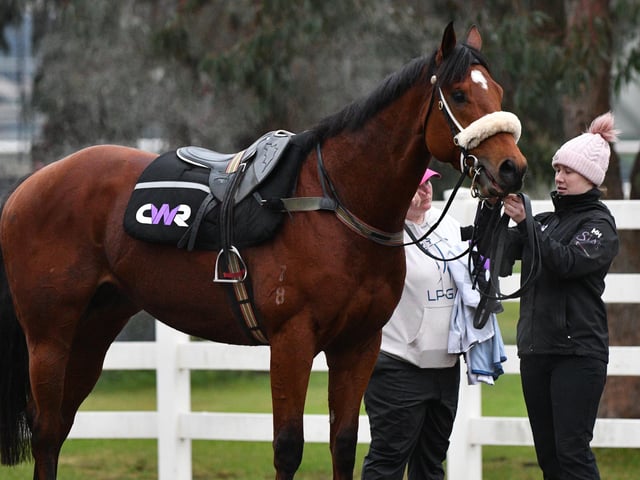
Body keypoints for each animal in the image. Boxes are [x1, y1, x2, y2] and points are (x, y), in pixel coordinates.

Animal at [0, 22, 526, 480]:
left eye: (498, 92)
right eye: (459, 94)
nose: (512, 169)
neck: (333, 203)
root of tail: (27, 187)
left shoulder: (359, 344)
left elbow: (343, 443)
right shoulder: (292, 341)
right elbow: (288, 447)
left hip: (94, 329)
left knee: (59, 428)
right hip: (49, 337)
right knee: (46, 431)